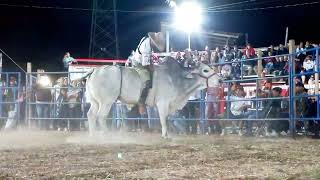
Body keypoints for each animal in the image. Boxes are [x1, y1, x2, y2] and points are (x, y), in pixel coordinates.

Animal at [84, 57, 221, 138]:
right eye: (205, 70)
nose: (220, 79)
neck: (175, 79)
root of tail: (94, 71)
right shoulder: (162, 103)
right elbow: (163, 119)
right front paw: (165, 135)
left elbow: (168, 119)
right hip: (106, 101)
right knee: (100, 116)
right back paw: (105, 134)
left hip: (95, 102)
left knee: (91, 115)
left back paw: (92, 135)